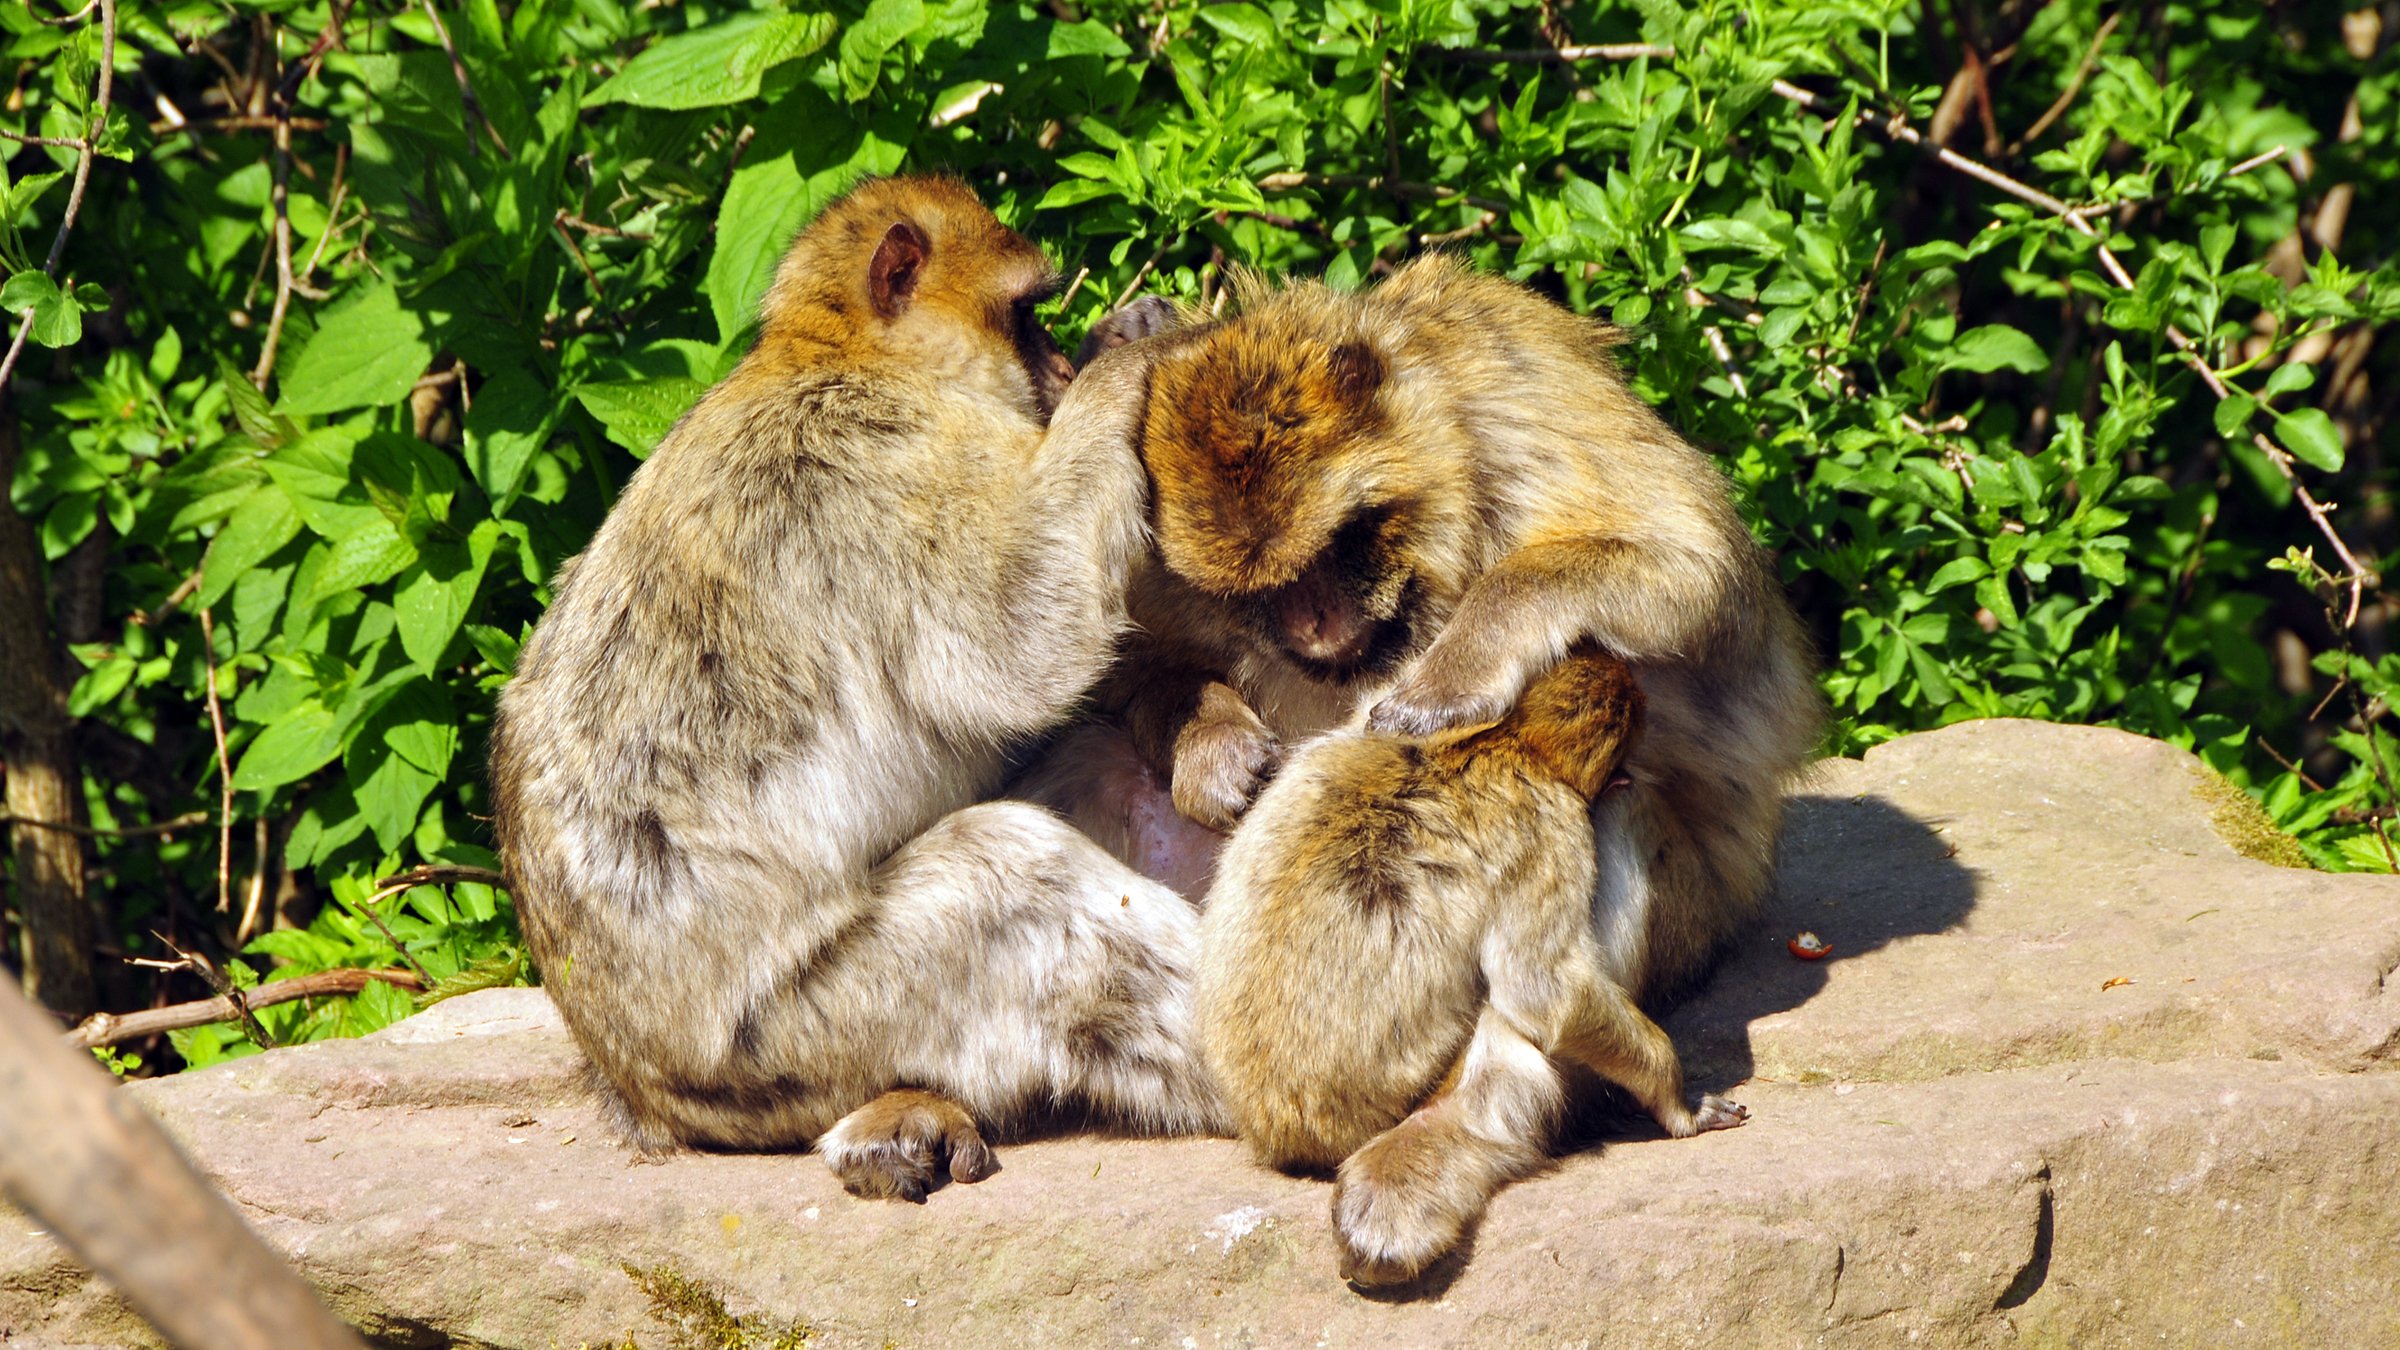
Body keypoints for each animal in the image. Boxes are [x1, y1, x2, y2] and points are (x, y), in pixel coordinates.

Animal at [1200, 648, 1747, 1287]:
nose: (1628, 770)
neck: (1502, 742)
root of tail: (1274, 1132)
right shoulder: (1553, 821)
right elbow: (1545, 991)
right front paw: (1679, 1103)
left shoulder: (1373, 717)